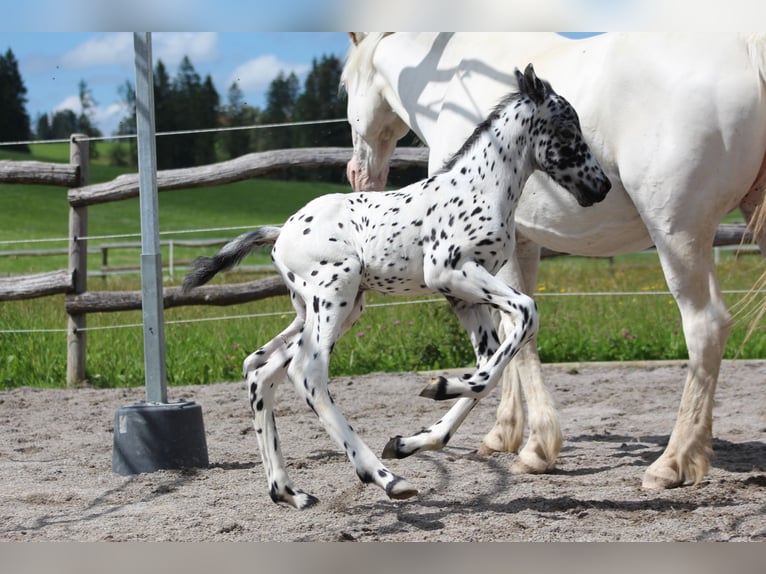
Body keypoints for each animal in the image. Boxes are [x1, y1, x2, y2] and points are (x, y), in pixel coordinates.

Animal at [344, 32, 766, 490]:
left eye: (345, 85)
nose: (358, 175)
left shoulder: (497, 255)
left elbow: (517, 334)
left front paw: (535, 449)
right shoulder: (519, 249)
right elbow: (506, 337)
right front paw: (501, 435)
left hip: (678, 235)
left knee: (706, 326)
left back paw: (672, 462)